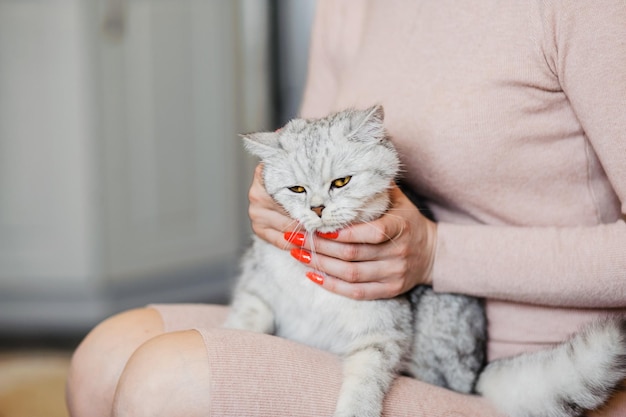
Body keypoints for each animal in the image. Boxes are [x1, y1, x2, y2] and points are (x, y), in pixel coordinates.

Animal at [224, 105, 624, 414]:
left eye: (341, 182)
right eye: (297, 189)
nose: (317, 208)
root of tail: (478, 378)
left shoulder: (380, 333)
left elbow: (363, 386)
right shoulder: (257, 294)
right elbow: (244, 323)